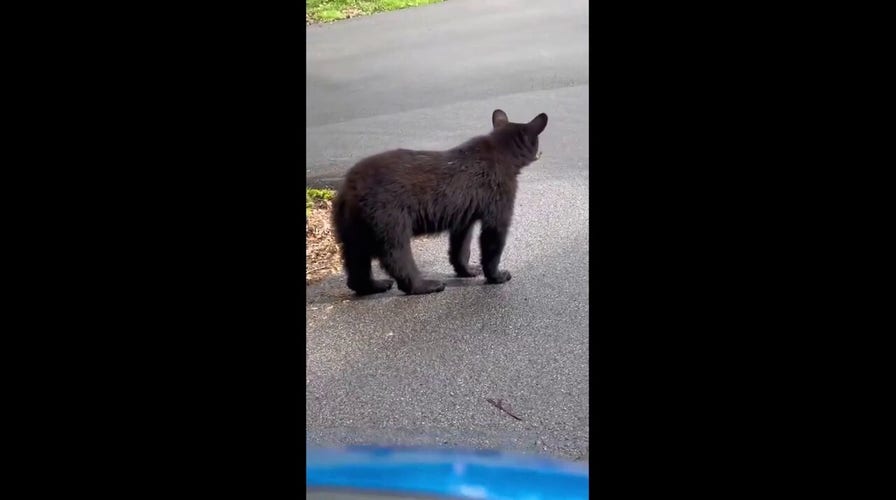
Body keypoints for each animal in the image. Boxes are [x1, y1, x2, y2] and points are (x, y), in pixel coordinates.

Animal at [334, 109, 548, 294]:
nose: (541, 152)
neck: (504, 153)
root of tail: (350, 187)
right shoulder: (498, 190)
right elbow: (494, 232)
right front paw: (498, 275)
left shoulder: (464, 209)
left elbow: (461, 239)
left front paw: (468, 269)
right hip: (388, 213)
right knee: (395, 251)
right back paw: (425, 285)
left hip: (351, 221)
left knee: (355, 255)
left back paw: (372, 285)